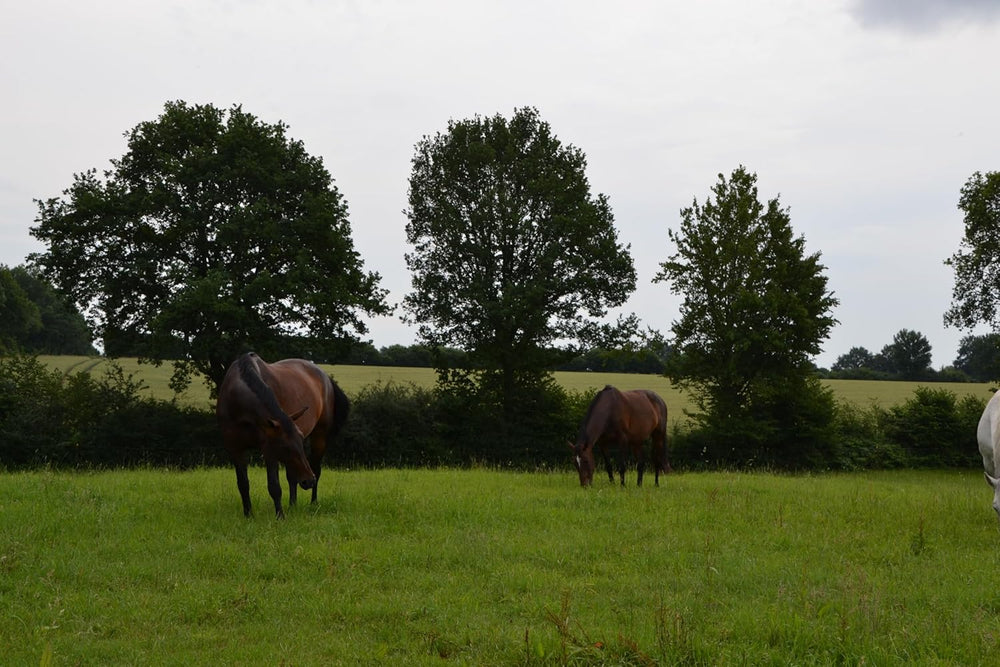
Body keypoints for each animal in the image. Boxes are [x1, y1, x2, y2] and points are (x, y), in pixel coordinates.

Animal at [216, 352, 350, 518]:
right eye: (284, 445)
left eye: (300, 440)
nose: (308, 481)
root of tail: (325, 377)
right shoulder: (236, 449)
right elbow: (243, 484)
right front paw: (248, 515)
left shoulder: (269, 452)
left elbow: (274, 486)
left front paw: (280, 516)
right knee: (292, 477)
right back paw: (293, 505)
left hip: (319, 437)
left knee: (316, 470)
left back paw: (313, 503)